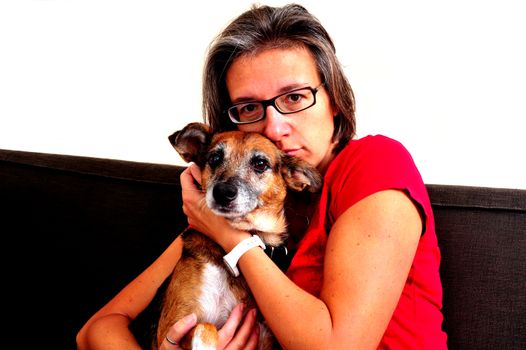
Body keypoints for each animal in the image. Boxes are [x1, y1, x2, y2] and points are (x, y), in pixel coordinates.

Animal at [155, 121, 324, 348]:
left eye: (260, 163)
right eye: (214, 158)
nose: (222, 192)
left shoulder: (264, 335)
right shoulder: (170, 328)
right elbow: (205, 326)